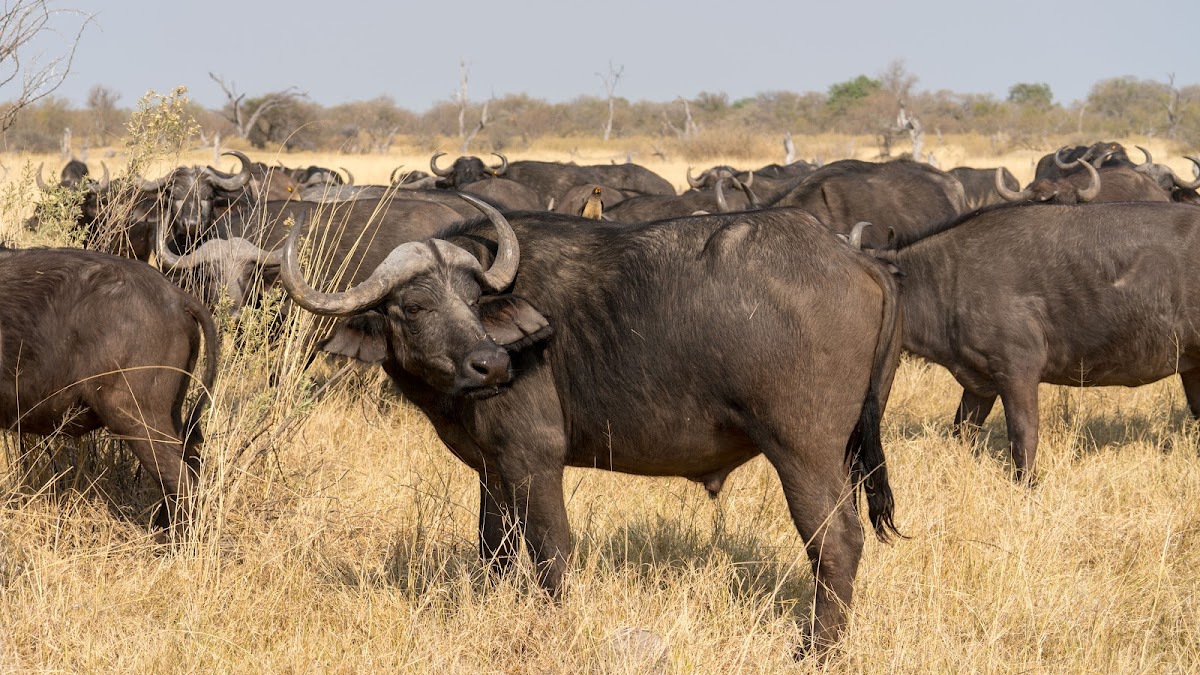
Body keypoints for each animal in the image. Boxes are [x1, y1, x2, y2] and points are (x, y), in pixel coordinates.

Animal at [280, 199, 902, 653]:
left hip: (803, 453)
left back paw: (816, 649)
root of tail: (856, 259)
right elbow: (494, 548)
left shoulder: (534, 460)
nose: (494, 365)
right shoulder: (492, 467)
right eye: (413, 306)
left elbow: (550, 549)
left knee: (836, 541)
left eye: (473, 300)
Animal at [873, 199, 1200, 478]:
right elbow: (962, 431)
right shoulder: (979, 385)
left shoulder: (1017, 373)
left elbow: (1023, 434)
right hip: (1192, 369)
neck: (946, 279)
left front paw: (1027, 485)